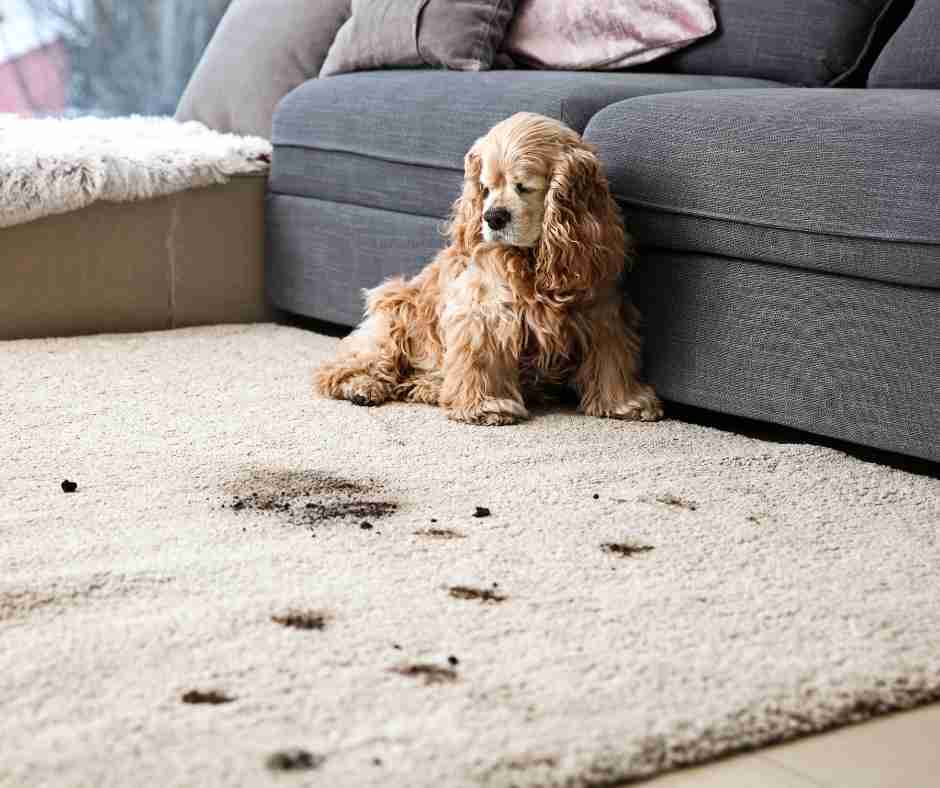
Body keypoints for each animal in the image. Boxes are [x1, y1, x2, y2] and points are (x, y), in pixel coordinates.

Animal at [314, 111, 660, 424]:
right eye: (485, 187)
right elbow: (481, 358)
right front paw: (485, 407)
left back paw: (428, 387)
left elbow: (612, 359)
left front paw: (625, 403)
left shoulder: (602, 311)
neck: (532, 261)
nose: (493, 217)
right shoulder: (484, 312)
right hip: (395, 313)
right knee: (348, 363)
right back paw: (361, 386)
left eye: (524, 186)